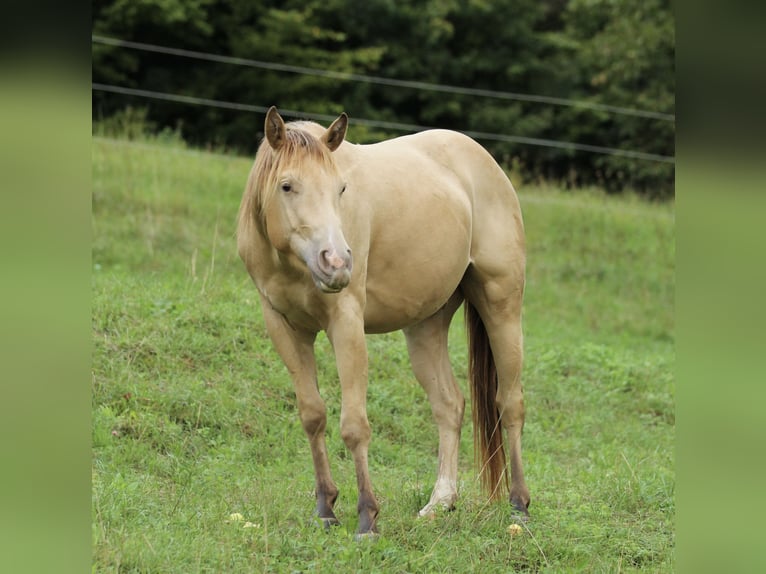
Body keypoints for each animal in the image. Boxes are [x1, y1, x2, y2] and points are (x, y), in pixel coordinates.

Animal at [237, 107, 529, 538]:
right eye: (286, 186)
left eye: (341, 189)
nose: (337, 262)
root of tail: (483, 160)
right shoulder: (284, 327)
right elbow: (313, 416)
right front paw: (325, 509)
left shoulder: (346, 323)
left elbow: (354, 425)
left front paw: (367, 518)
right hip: (426, 326)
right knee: (449, 405)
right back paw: (440, 503)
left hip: (502, 306)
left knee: (510, 404)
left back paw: (520, 506)